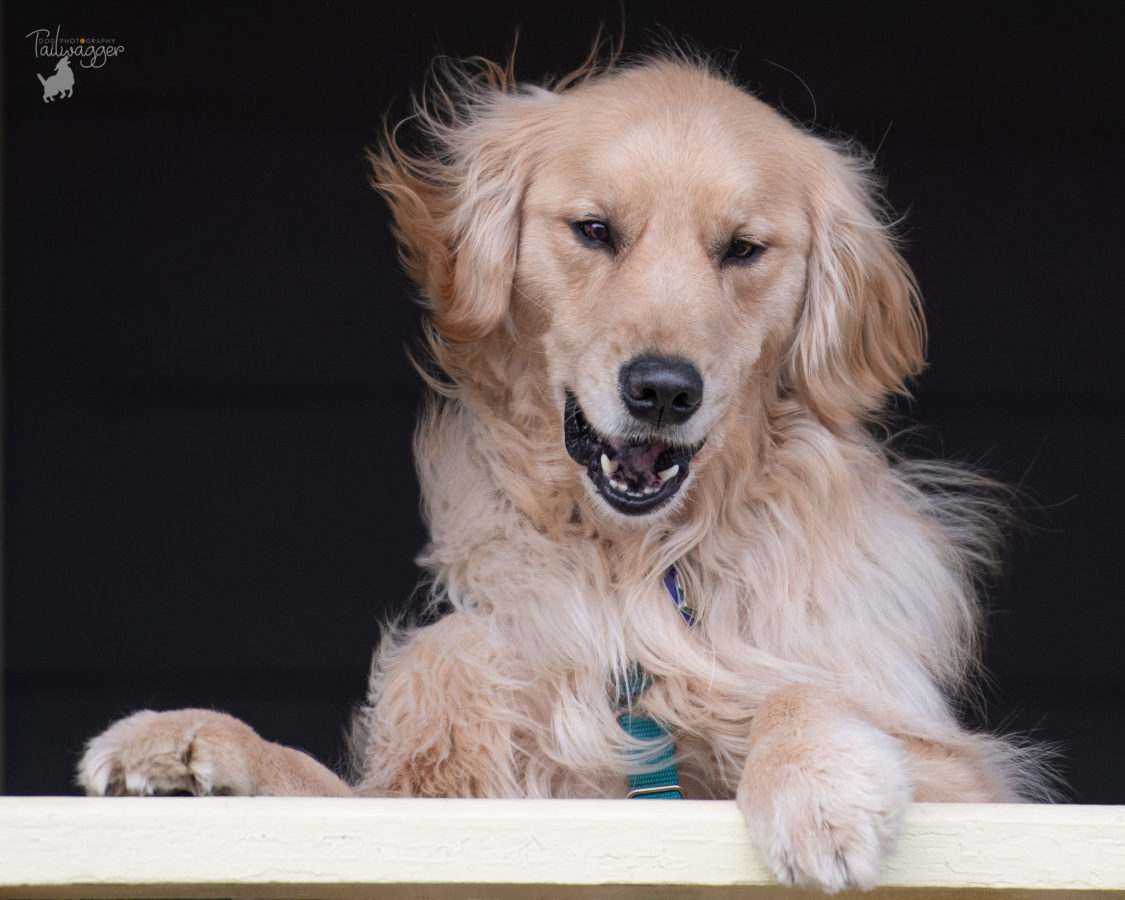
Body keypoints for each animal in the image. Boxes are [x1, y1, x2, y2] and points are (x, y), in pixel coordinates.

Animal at [81, 49, 1044, 891]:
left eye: (741, 249)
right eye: (594, 231)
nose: (662, 390)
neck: (633, 576)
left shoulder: (971, 786)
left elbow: (796, 692)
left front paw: (817, 792)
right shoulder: (439, 793)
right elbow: (317, 786)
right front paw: (189, 738)